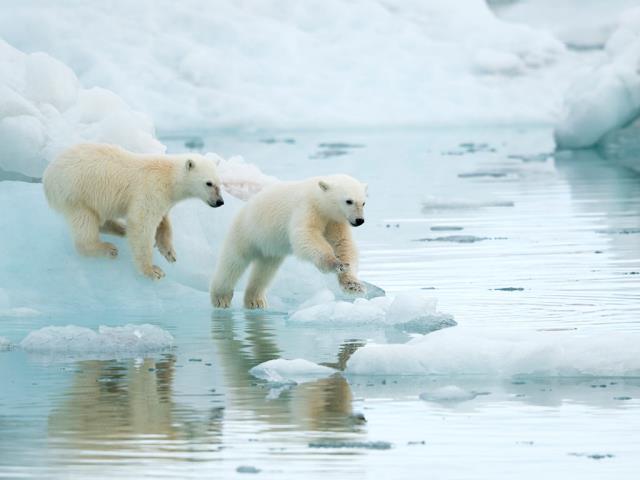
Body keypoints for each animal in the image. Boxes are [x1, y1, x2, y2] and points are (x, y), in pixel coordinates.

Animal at [43, 143, 224, 279]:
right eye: (208, 183)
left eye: (219, 183)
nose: (220, 202)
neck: (169, 177)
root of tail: (47, 175)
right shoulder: (151, 189)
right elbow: (142, 223)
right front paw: (153, 270)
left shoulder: (163, 197)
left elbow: (163, 221)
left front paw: (169, 252)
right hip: (77, 193)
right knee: (85, 223)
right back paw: (108, 248)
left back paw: (121, 229)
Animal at [210, 174, 367, 309]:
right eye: (349, 201)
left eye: (363, 202)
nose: (359, 220)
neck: (319, 199)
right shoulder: (307, 208)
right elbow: (305, 236)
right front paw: (334, 263)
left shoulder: (335, 221)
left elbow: (343, 244)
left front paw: (353, 285)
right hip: (246, 232)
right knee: (233, 262)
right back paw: (221, 297)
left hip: (270, 248)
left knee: (265, 271)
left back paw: (255, 300)